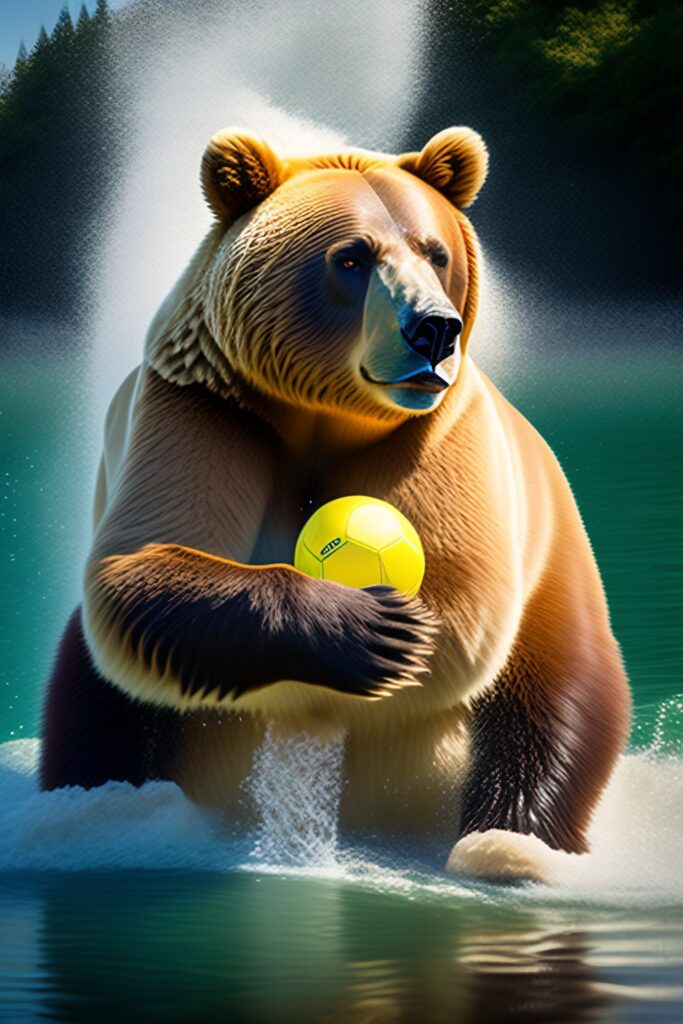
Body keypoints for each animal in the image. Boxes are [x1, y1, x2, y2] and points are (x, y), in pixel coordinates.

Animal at [39, 125, 631, 881]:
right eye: (352, 256)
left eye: (434, 251)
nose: (433, 331)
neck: (325, 416)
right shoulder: (207, 410)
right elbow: (142, 564)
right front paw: (370, 628)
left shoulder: (439, 432)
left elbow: (463, 600)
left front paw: (398, 628)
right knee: (96, 701)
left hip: (550, 575)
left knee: (555, 697)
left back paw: (505, 843)